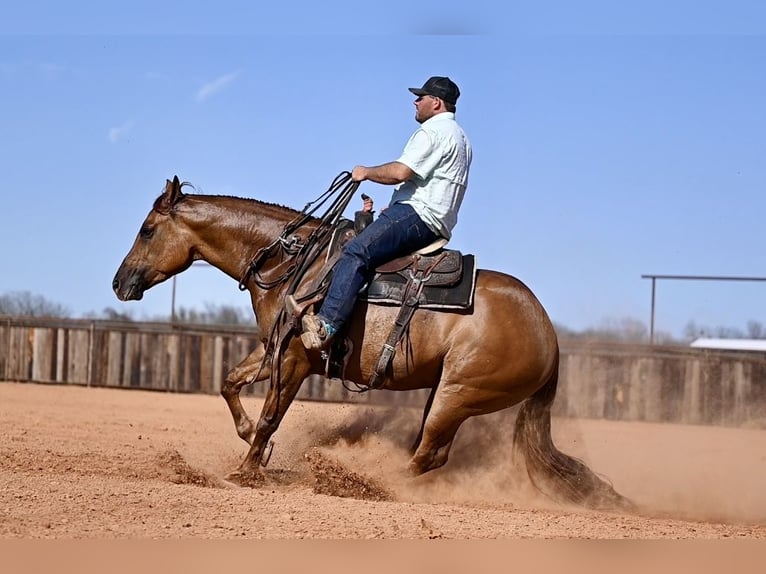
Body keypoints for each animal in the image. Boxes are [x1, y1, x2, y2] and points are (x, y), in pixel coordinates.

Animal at [111, 177, 632, 512]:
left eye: (147, 229)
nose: (119, 283)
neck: (296, 262)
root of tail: (549, 334)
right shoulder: (273, 347)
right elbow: (230, 384)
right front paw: (251, 445)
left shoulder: (296, 358)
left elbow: (271, 414)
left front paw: (247, 469)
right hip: (447, 394)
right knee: (429, 452)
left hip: (459, 393)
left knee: (429, 454)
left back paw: (362, 480)